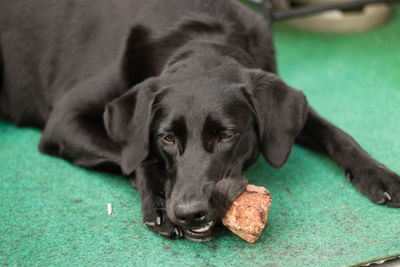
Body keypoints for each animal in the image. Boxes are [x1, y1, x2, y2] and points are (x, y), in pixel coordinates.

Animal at [0, 0, 400, 243]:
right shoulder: (63, 120)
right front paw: (156, 199)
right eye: (167, 138)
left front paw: (378, 174)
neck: (200, 36)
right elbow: (135, 154)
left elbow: (335, 132)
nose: (190, 213)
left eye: (226, 135)